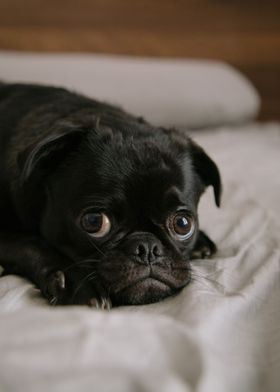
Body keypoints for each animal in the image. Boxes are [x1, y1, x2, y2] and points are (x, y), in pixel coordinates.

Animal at [0, 83, 222, 310]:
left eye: (183, 224)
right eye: (94, 222)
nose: (147, 248)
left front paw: (201, 241)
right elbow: (31, 243)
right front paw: (75, 281)